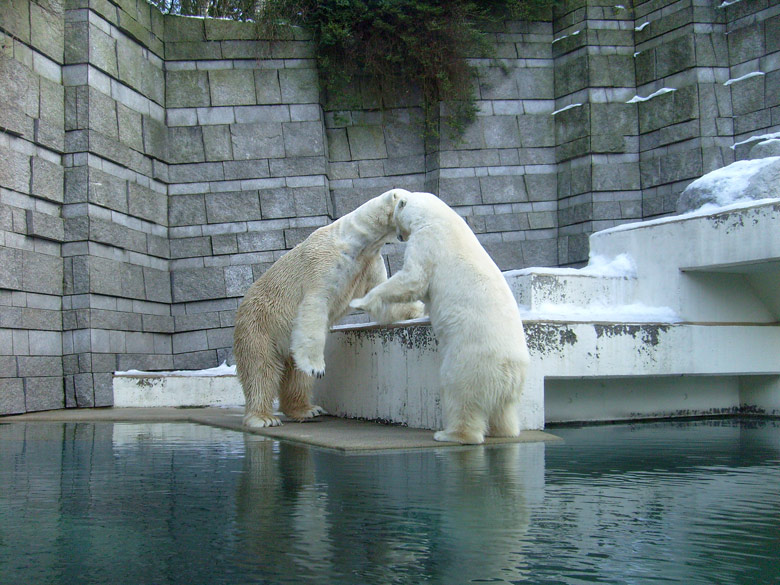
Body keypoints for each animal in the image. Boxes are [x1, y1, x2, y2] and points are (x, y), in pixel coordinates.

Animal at [233, 189, 424, 426]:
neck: (356, 241)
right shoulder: (324, 265)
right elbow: (315, 305)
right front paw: (316, 367)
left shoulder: (368, 264)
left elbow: (381, 294)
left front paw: (417, 310)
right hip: (259, 325)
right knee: (261, 369)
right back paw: (263, 417)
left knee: (296, 375)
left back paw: (306, 409)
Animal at [352, 190, 532, 442]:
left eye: (396, 210)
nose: (398, 236)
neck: (438, 217)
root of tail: (509, 371)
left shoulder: (428, 242)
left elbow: (412, 279)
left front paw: (361, 301)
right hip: (512, 382)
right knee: (504, 409)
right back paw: (504, 431)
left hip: (470, 361)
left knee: (459, 392)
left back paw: (450, 434)